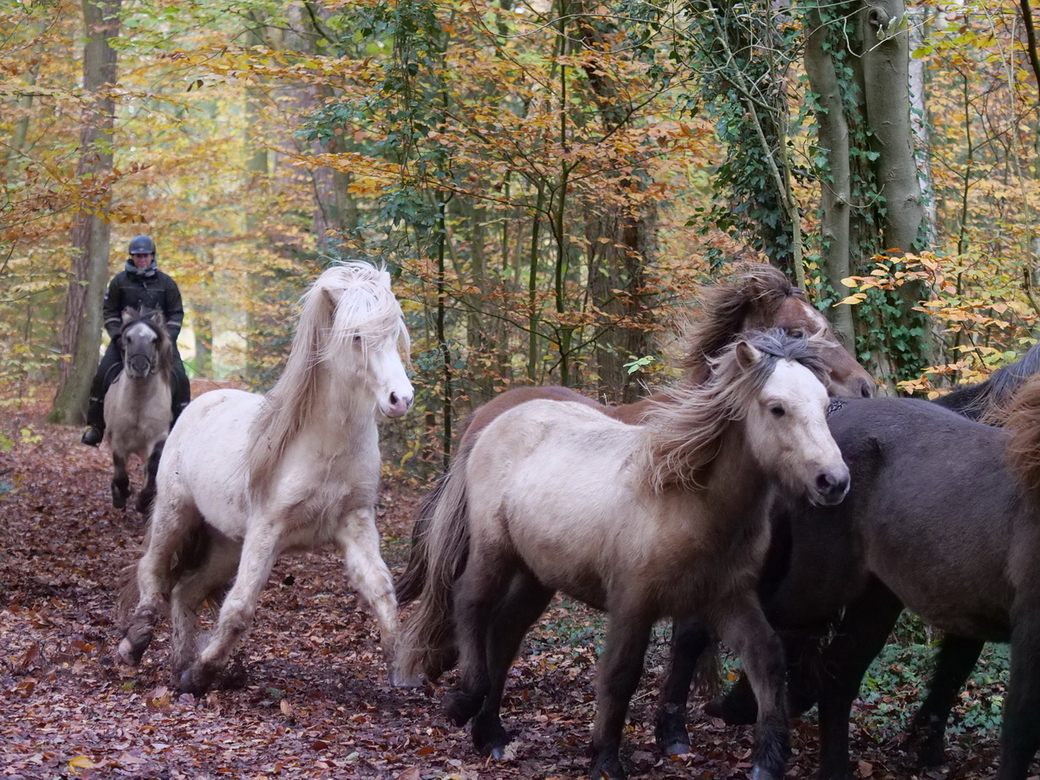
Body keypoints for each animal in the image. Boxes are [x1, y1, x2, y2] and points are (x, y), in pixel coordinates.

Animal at [103, 307, 174, 515]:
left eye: (154, 340)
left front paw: (143, 501)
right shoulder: (117, 440)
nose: (140, 366)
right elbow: (120, 474)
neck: (138, 404)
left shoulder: (157, 438)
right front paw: (120, 496)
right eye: (128, 338)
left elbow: (152, 467)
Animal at [118, 264, 413, 694]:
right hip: (175, 515)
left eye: (394, 333)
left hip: (225, 543)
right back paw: (134, 646)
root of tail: (201, 404)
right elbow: (240, 608)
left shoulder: (355, 523)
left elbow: (381, 589)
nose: (400, 399)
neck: (325, 445)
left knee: (185, 592)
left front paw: (401, 671)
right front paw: (205, 670)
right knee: (153, 573)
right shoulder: (267, 529)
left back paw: (180, 669)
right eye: (357, 336)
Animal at [393, 332, 848, 780]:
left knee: (503, 633)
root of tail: (494, 422)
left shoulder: (727, 598)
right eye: (777, 408)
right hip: (494, 553)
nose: (834, 481)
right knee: (470, 604)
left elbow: (765, 658)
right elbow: (619, 674)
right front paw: (606, 761)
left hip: (536, 575)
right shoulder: (633, 602)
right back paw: (463, 704)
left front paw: (768, 761)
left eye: (826, 405)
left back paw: (490, 734)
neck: (688, 500)